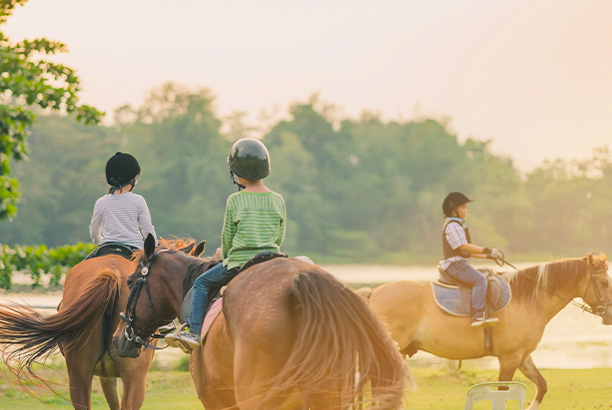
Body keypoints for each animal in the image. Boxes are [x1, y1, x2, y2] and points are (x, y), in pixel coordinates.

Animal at [360, 253, 608, 410]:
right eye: (605, 283)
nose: (610, 314)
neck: (526, 300)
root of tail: (374, 293)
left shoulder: (522, 357)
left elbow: (542, 386)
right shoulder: (509, 359)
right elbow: (502, 392)